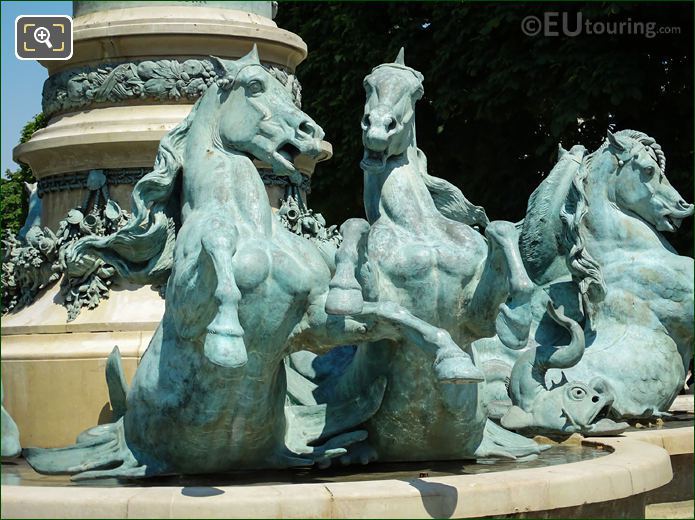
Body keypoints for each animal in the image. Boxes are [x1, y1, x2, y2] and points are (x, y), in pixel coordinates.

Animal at [23, 48, 478, 480]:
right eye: (256, 86)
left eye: (286, 89)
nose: (312, 133)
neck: (253, 222)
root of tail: (123, 437)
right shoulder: (188, 310)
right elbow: (219, 249)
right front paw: (227, 340)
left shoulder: (312, 324)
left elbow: (389, 314)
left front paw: (452, 357)